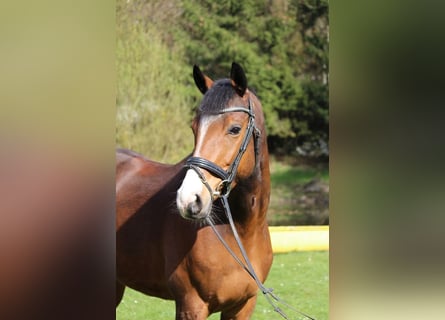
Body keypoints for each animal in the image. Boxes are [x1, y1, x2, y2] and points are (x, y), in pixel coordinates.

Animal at [116, 63, 272, 320]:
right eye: (194, 128)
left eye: (235, 129)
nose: (189, 200)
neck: (241, 231)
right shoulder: (192, 305)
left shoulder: (242, 306)